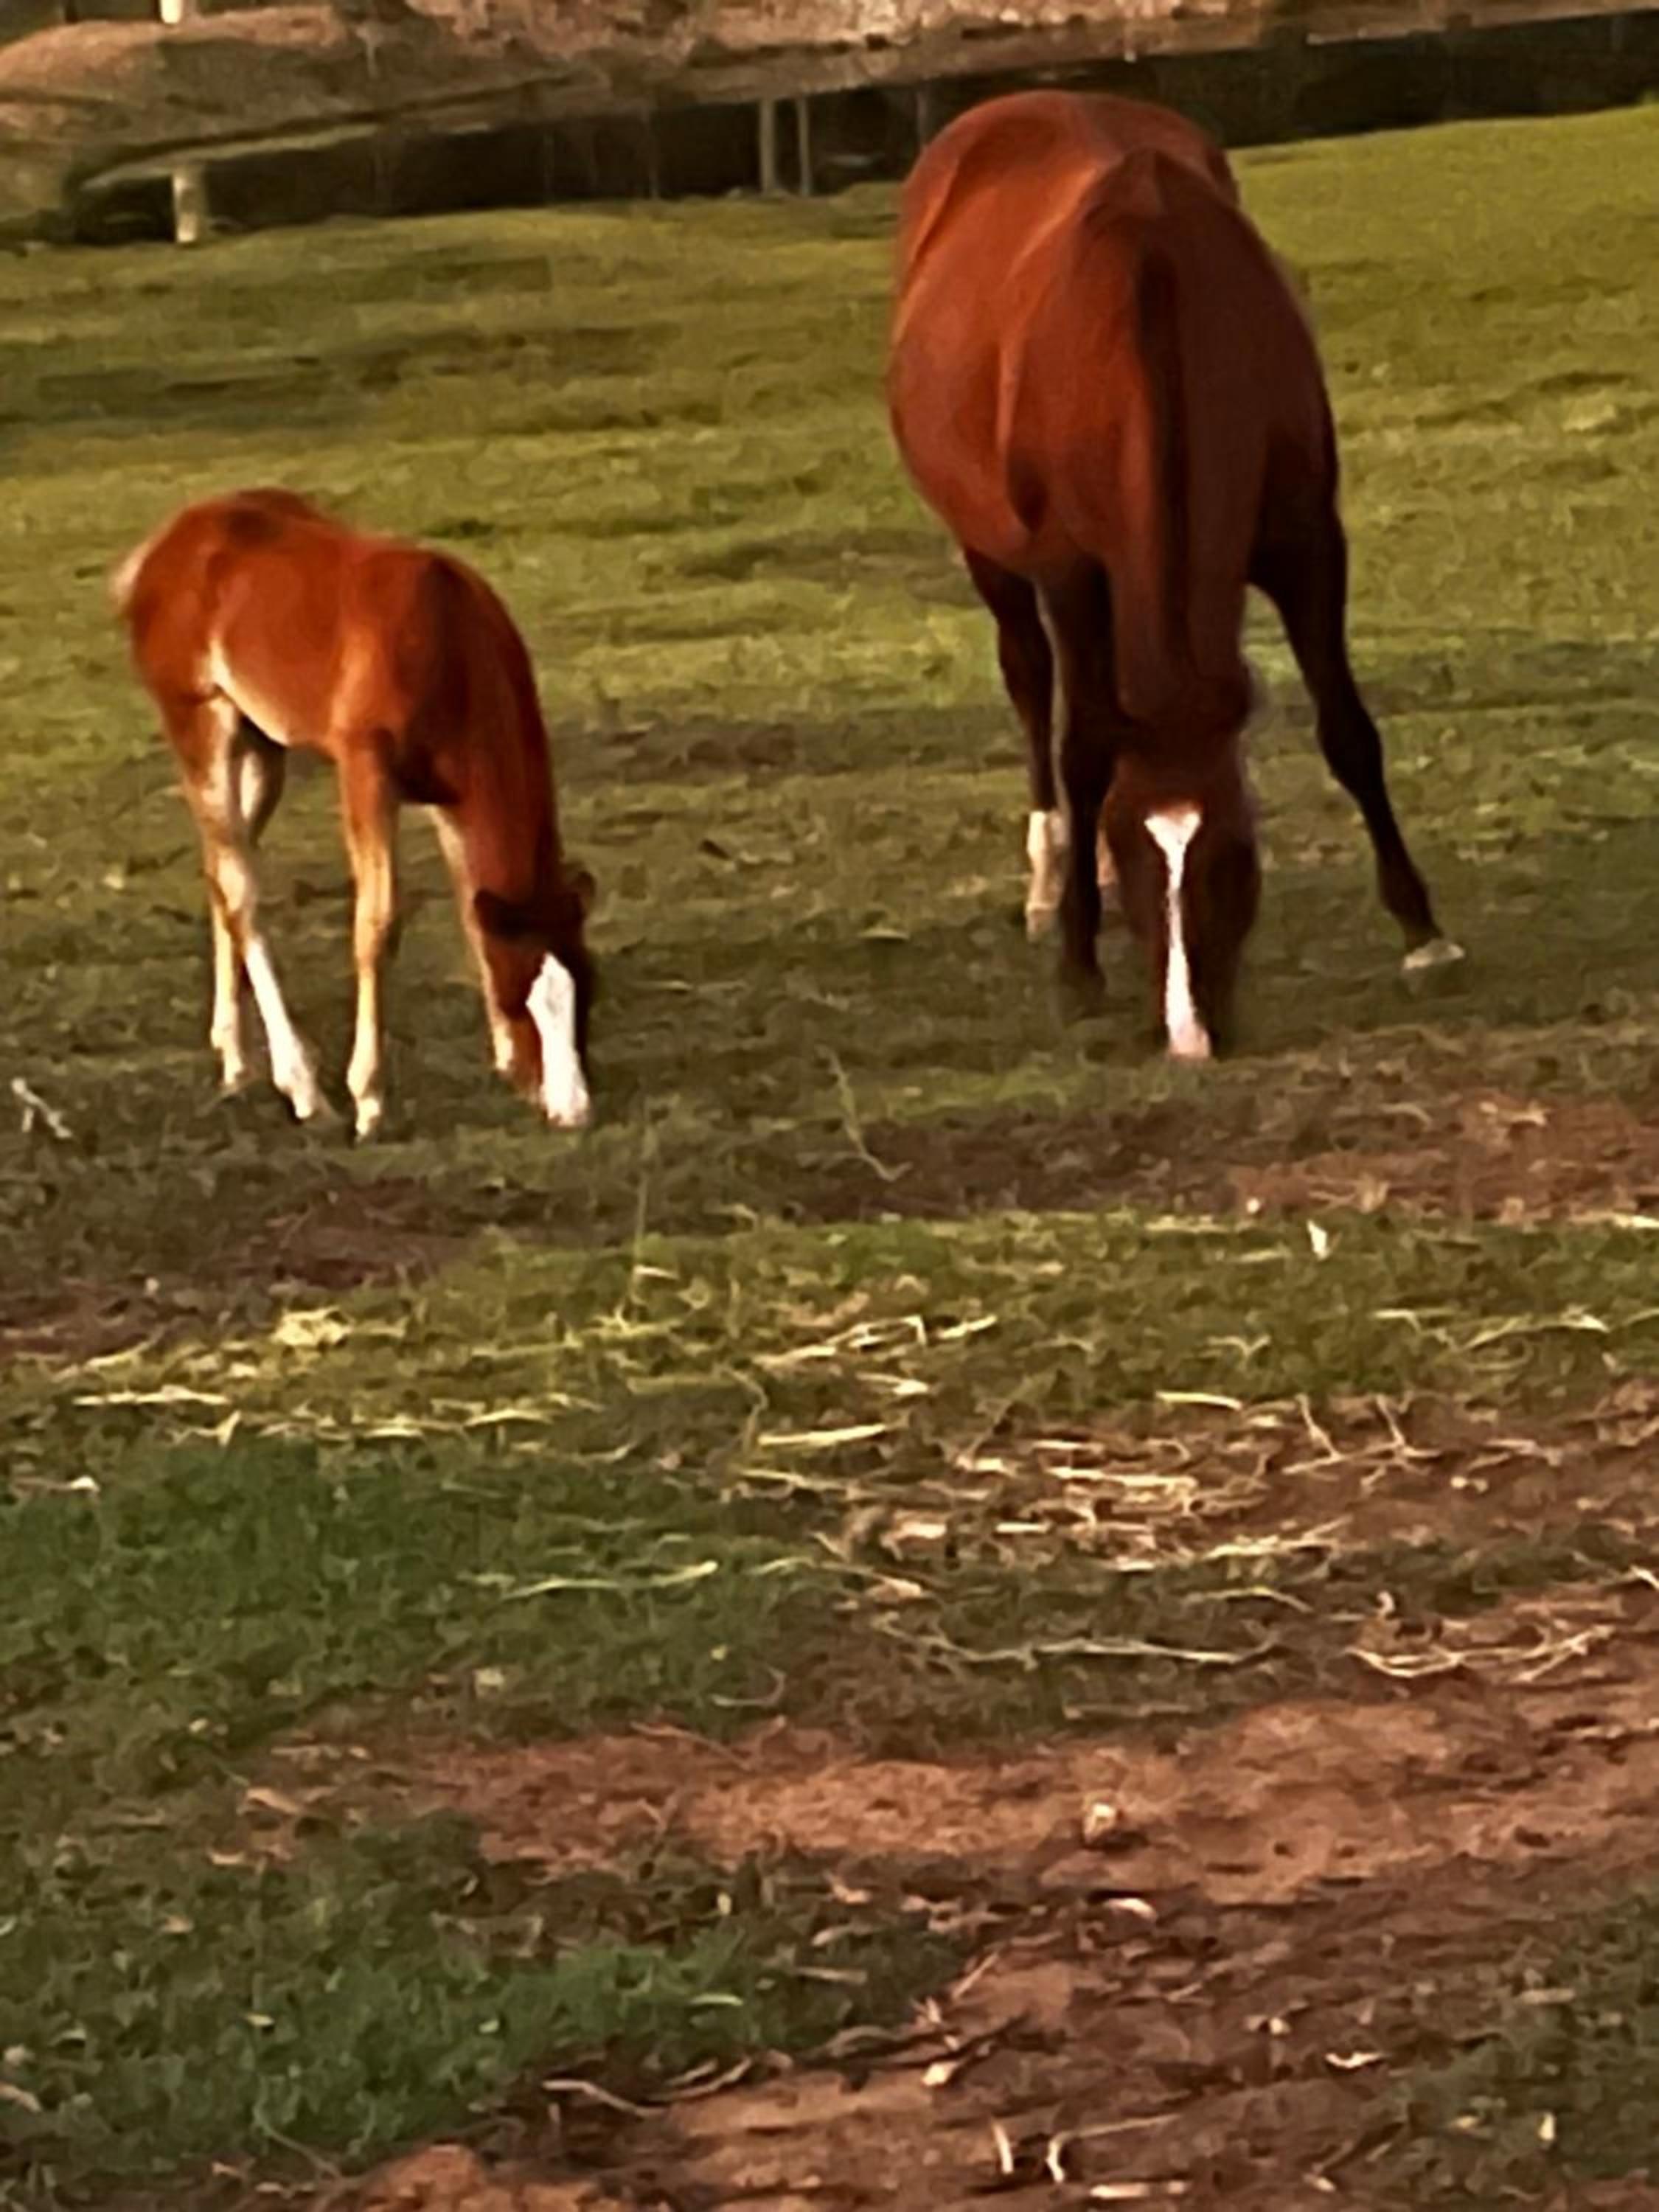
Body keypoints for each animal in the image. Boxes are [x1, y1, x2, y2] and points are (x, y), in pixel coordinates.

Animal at [111, 488, 596, 1137]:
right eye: (526, 992)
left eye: (588, 988)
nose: (575, 1111)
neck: (447, 643)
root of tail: (163, 546)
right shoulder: (365, 771)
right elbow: (377, 923)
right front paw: (368, 1099)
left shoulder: (452, 801)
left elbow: (472, 909)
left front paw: (506, 1063)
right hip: (199, 725)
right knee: (239, 887)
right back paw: (302, 1088)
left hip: (262, 746)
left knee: (221, 871)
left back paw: (235, 1061)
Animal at [888, 94, 1459, 1055]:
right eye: (1132, 851)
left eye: (1233, 854)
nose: (1192, 1038)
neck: (1150, 311)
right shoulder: (1071, 571)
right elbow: (1083, 752)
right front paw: (1080, 966)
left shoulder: (1309, 544)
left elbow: (1348, 730)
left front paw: (1423, 933)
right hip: (990, 551)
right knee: (1030, 680)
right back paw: (1050, 880)